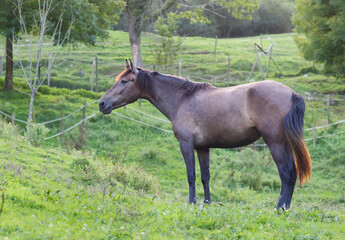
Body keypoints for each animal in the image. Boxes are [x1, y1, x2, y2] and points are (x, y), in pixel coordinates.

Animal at [98, 58, 310, 210]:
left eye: (124, 81)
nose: (102, 103)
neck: (182, 99)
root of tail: (292, 93)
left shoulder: (186, 144)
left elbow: (191, 175)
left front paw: (191, 202)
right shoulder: (203, 147)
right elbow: (205, 176)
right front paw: (207, 203)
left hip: (275, 143)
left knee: (286, 173)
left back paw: (280, 207)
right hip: (284, 144)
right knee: (292, 173)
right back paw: (286, 207)